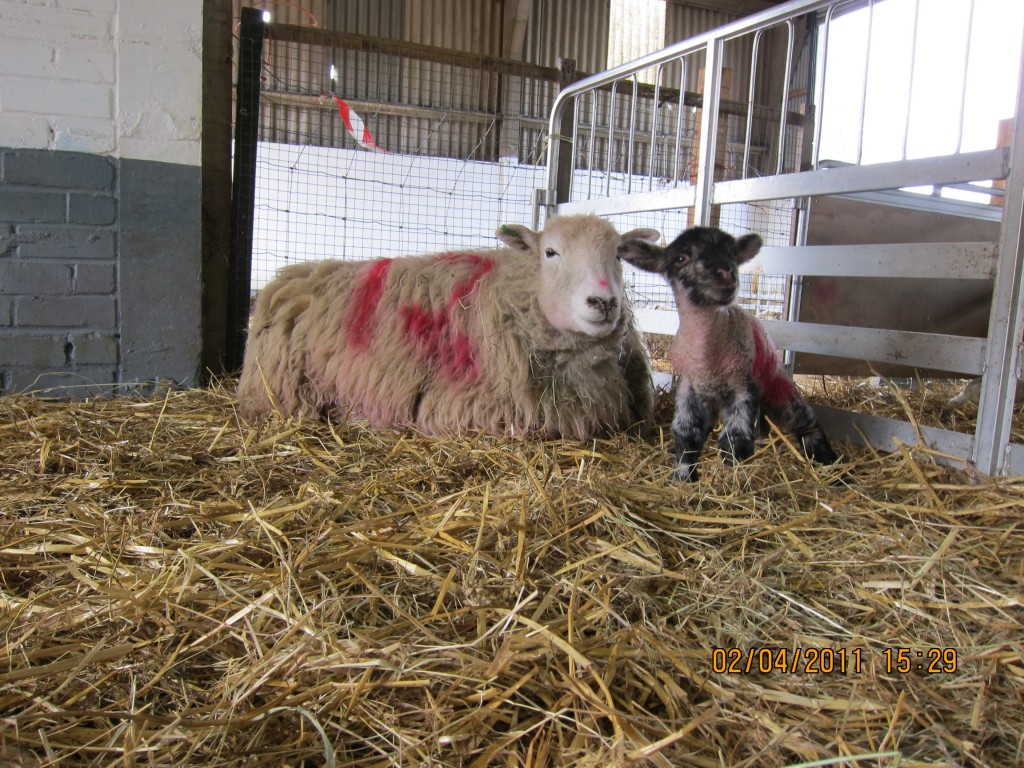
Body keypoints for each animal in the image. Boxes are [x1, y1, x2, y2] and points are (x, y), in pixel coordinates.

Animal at [235, 217, 659, 442]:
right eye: (550, 252)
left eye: (618, 255)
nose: (603, 302)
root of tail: (288, 277)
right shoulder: (465, 406)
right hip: (282, 389)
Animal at [614, 225, 839, 483]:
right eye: (681, 258)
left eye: (732, 254)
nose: (725, 272)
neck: (708, 360)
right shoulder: (689, 389)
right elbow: (686, 434)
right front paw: (682, 477)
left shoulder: (742, 386)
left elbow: (735, 440)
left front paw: (731, 477)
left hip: (776, 383)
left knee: (804, 419)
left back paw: (829, 464)